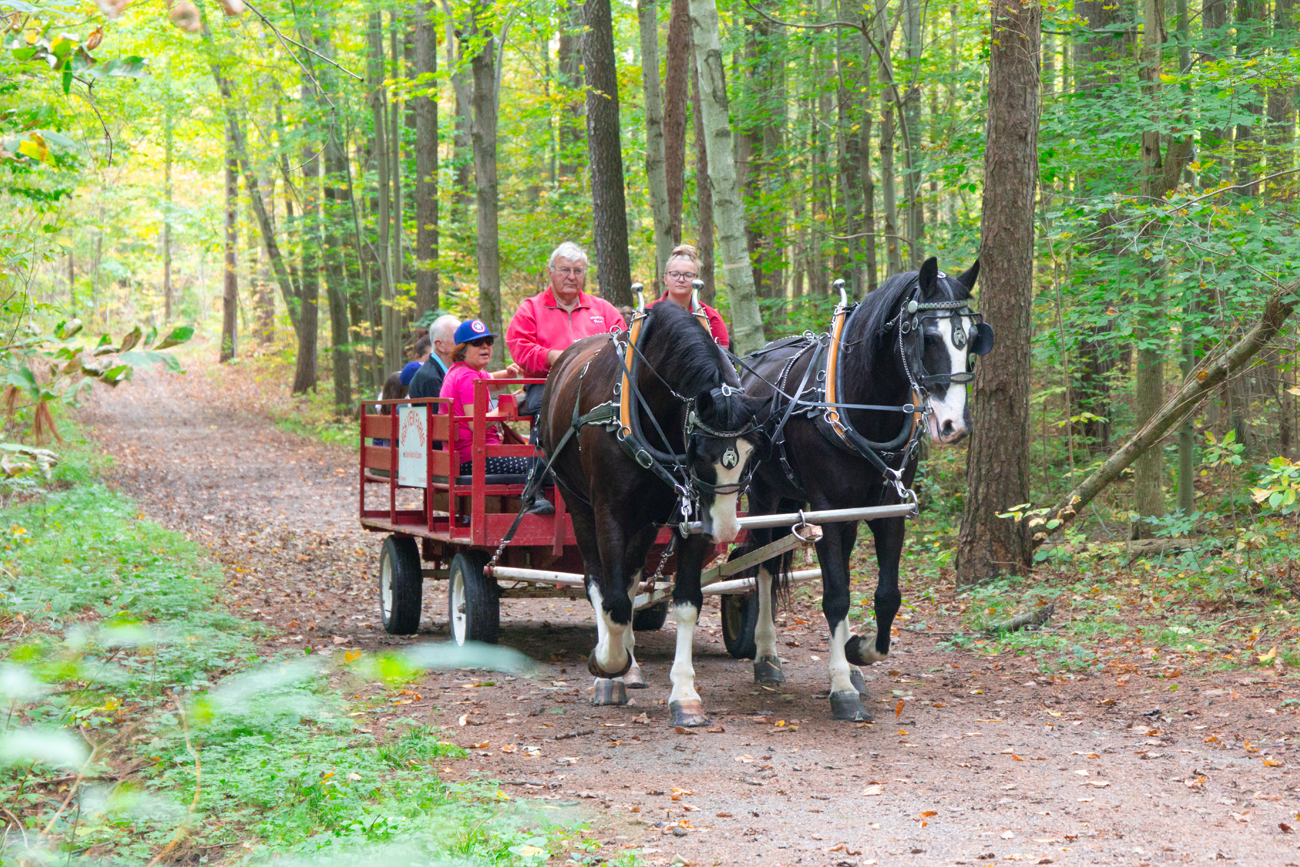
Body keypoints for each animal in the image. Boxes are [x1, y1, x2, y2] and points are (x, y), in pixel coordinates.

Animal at [538, 300, 767, 727]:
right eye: (701, 454)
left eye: (750, 454)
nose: (726, 529)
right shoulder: (609, 513)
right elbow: (612, 602)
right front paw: (606, 664)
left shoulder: (689, 517)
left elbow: (685, 602)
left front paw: (685, 695)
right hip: (576, 502)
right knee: (597, 581)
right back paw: (613, 667)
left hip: (645, 521)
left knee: (630, 578)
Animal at [738, 256, 993, 722]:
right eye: (927, 337)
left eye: (971, 339)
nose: (955, 426)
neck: (860, 405)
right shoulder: (823, 513)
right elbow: (836, 595)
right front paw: (842, 688)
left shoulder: (887, 511)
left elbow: (887, 595)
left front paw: (859, 652)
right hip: (764, 496)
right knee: (761, 567)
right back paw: (766, 656)